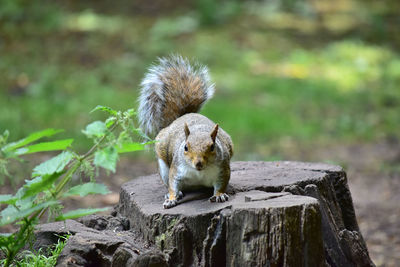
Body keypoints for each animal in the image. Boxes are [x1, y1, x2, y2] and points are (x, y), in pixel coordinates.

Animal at [138, 55, 233, 209]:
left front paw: (219, 195)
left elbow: (221, 184)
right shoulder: (176, 169)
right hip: (163, 167)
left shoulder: (223, 169)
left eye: (212, 147)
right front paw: (171, 198)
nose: (198, 163)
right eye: (186, 147)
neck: (199, 172)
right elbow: (173, 185)